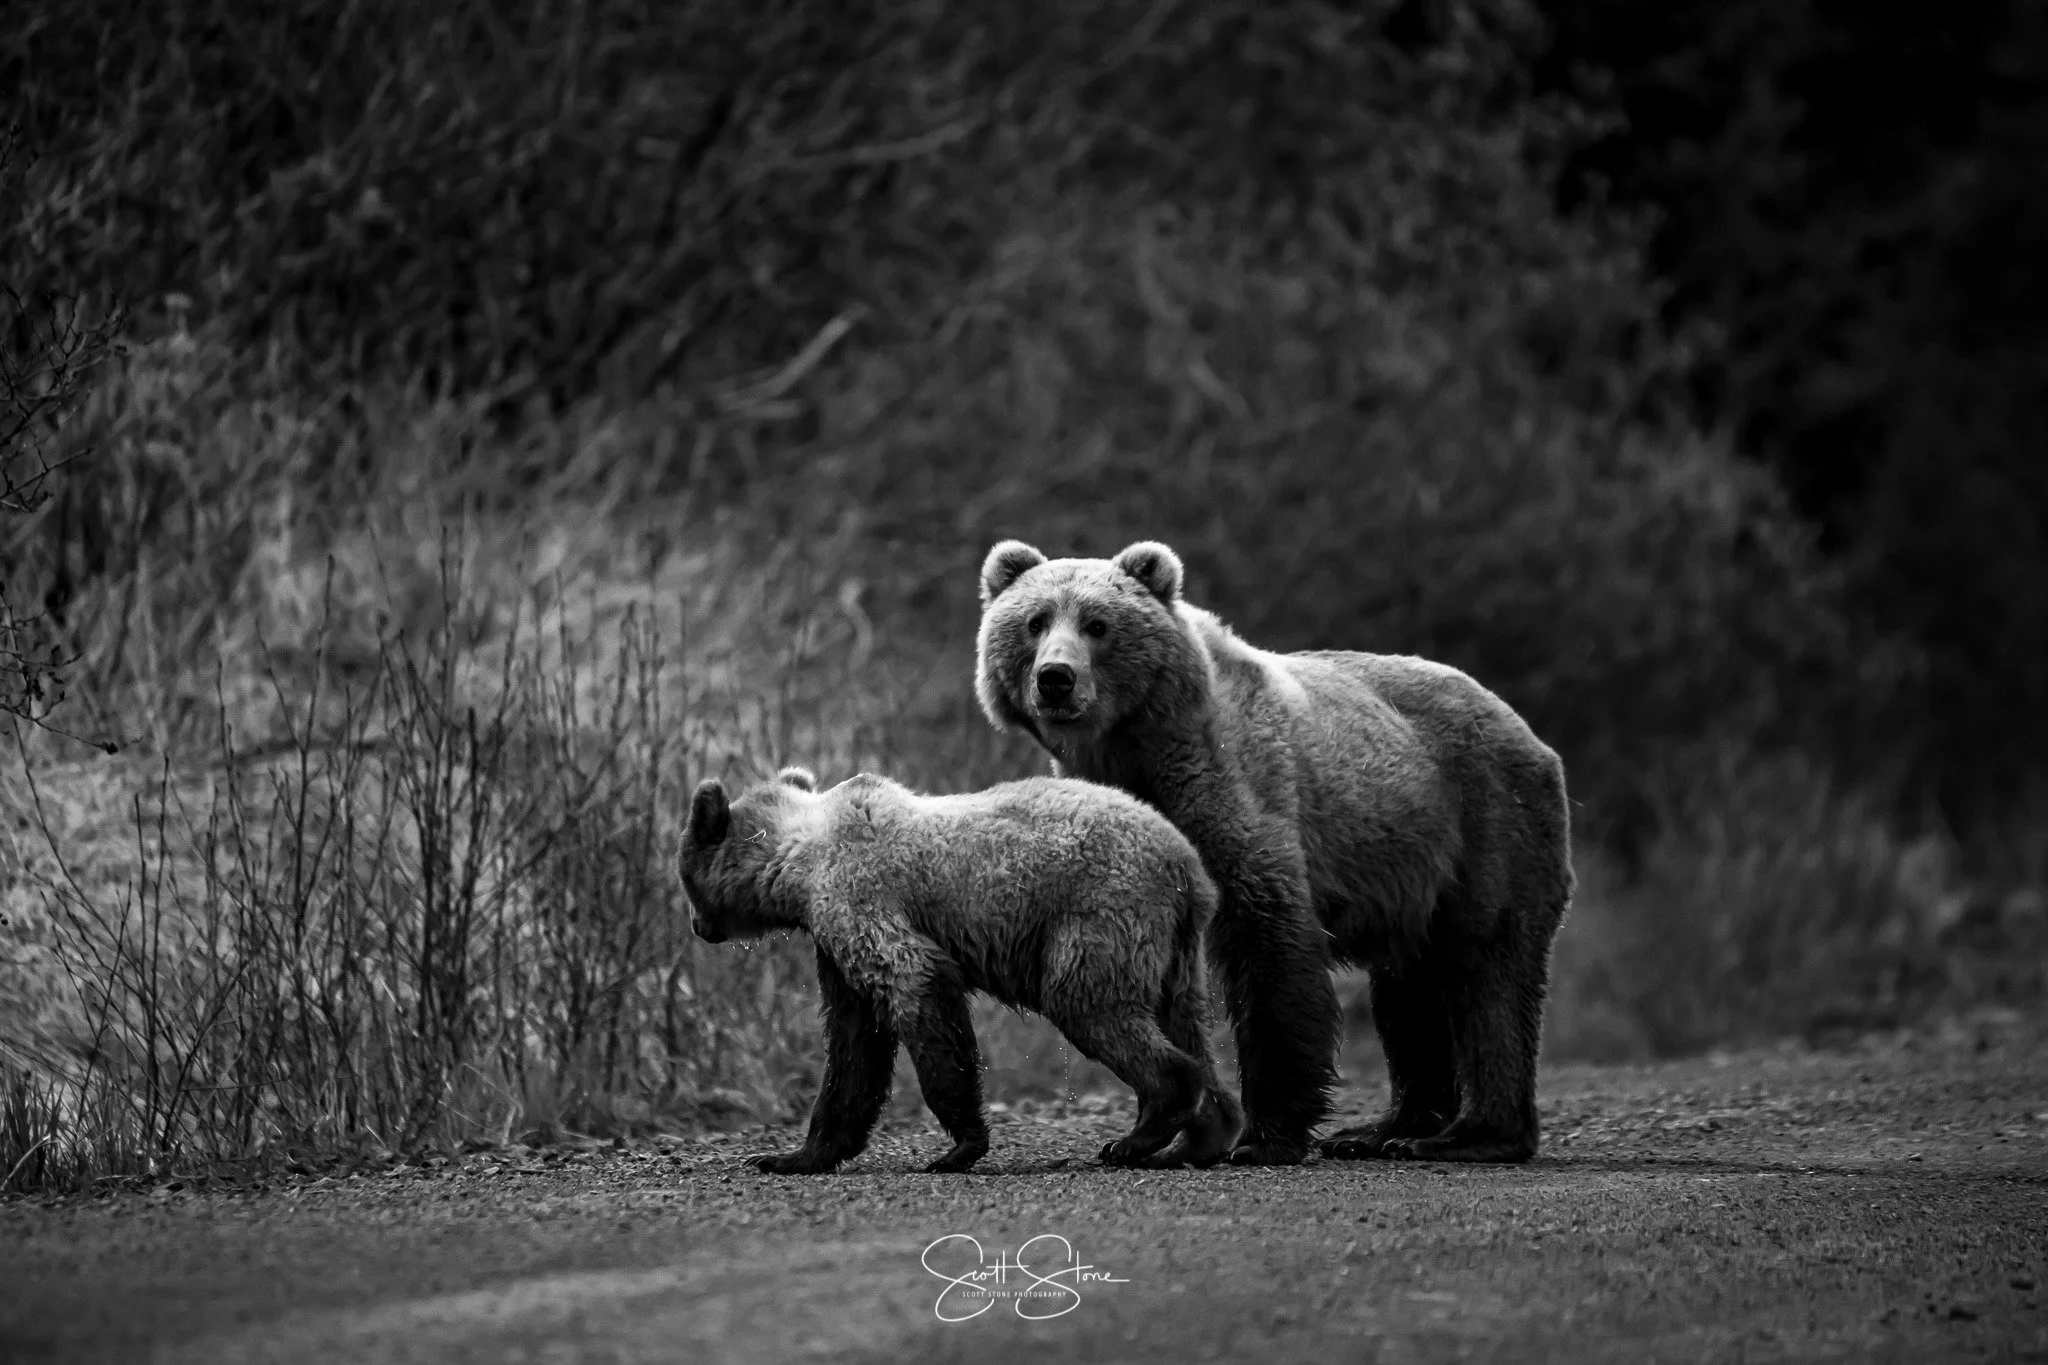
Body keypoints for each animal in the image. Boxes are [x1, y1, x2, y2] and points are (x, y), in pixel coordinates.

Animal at [677, 764, 1245, 1175]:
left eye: (684, 875)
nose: (697, 927)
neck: (799, 863)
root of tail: (1186, 863)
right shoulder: (832, 945)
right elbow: (853, 1044)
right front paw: (791, 1156)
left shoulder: (859, 898)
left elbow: (918, 988)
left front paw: (958, 1148)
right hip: (1176, 953)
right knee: (1183, 1023)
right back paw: (1202, 1137)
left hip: (1098, 914)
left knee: (1090, 1005)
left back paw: (1135, 1137)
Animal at [975, 539, 1574, 1166]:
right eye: (1035, 621)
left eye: (1098, 625)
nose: (1055, 678)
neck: (1139, 744)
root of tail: (1523, 725)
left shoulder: (1235, 790)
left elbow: (1267, 938)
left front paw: (1265, 1135)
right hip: (1411, 871)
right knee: (1408, 989)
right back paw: (1381, 1130)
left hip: (1484, 820)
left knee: (1487, 968)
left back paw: (1473, 1134)